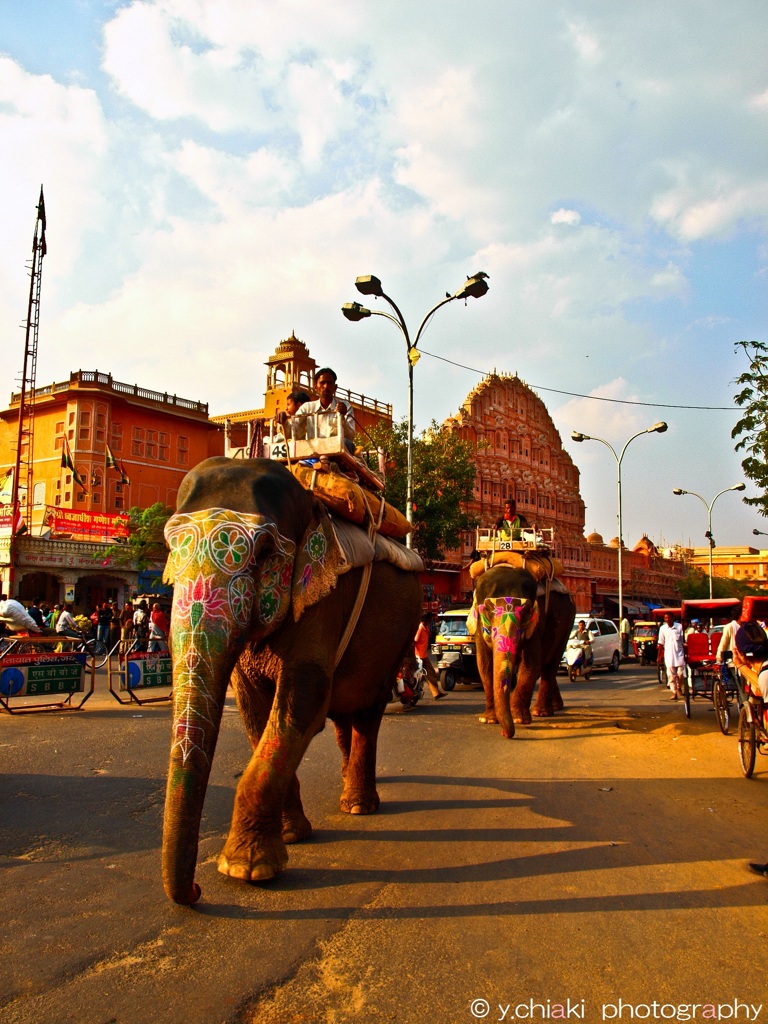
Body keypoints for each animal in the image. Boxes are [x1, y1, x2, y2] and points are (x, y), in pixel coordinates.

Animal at [160, 456, 421, 905]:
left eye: (265, 552)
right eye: (171, 548)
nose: (194, 890)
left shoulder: (325, 598)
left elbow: (303, 702)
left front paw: (245, 869)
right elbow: (253, 710)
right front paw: (291, 836)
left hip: (404, 633)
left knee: (368, 709)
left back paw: (358, 805)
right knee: (344, 713)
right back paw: (348, 790)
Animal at [468, 569, 577, 737]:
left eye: (526, 611)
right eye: (486, 610)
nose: (504, 733)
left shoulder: (537, 621)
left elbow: (531, 663)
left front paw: (519, 719)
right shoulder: (479, 628)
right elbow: (484, 665)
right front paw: (488, 719)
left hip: (568, 620)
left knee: (550, 665)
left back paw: (541, 712)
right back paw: (556, 706)